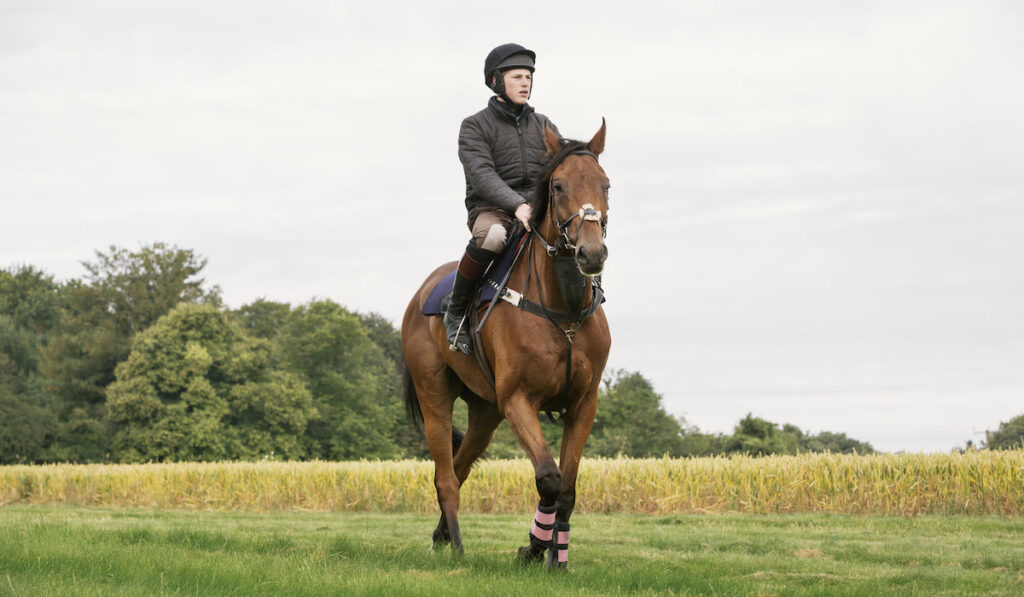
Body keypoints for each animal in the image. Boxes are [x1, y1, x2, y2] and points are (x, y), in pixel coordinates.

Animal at [397, 120, 606, 569]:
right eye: (558, 186)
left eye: (606, 184)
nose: (592, 253)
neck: (563, 309)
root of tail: (421, 293)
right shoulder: (518, 400)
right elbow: (549, 479)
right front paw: (532, 548)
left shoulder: (583, 404)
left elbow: (567, 489)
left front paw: (557, 557)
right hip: (435, 395)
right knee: (445, 476)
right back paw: (456, 546)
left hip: (485, 411)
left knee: (459, 468)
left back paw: (441, 537)